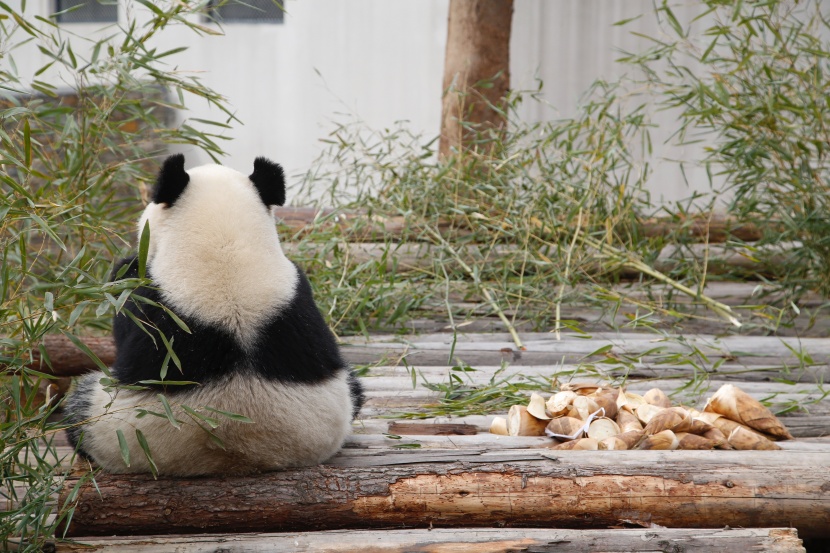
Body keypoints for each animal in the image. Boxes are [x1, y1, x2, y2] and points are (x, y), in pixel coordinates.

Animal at [65, 154, 364, 474]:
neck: (225, 250)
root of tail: (242, 455)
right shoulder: (301, 297)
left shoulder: (147, 302)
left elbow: (125, 294)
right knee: (355, 387)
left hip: (113, 430)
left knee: (79, 408)